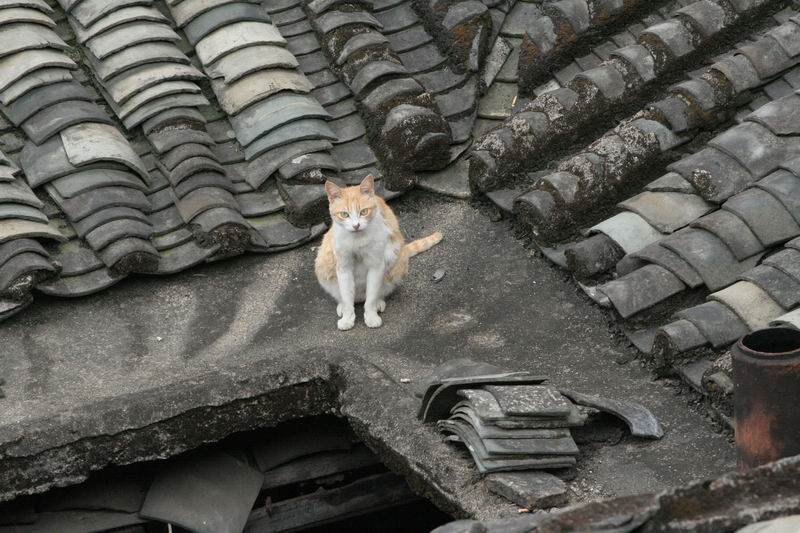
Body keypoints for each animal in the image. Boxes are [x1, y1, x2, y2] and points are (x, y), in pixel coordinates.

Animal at [316, 175, 444, 328]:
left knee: (378, 291)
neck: (357, 240)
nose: (356, 225)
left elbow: (371, 295)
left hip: (397, 260)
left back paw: (378, 302)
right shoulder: (343, 267)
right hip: (323, 263)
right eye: (344, 214)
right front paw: (347, 318)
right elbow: (347, 296)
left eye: (364, 212)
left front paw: (371, 316)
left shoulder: (376, 265)